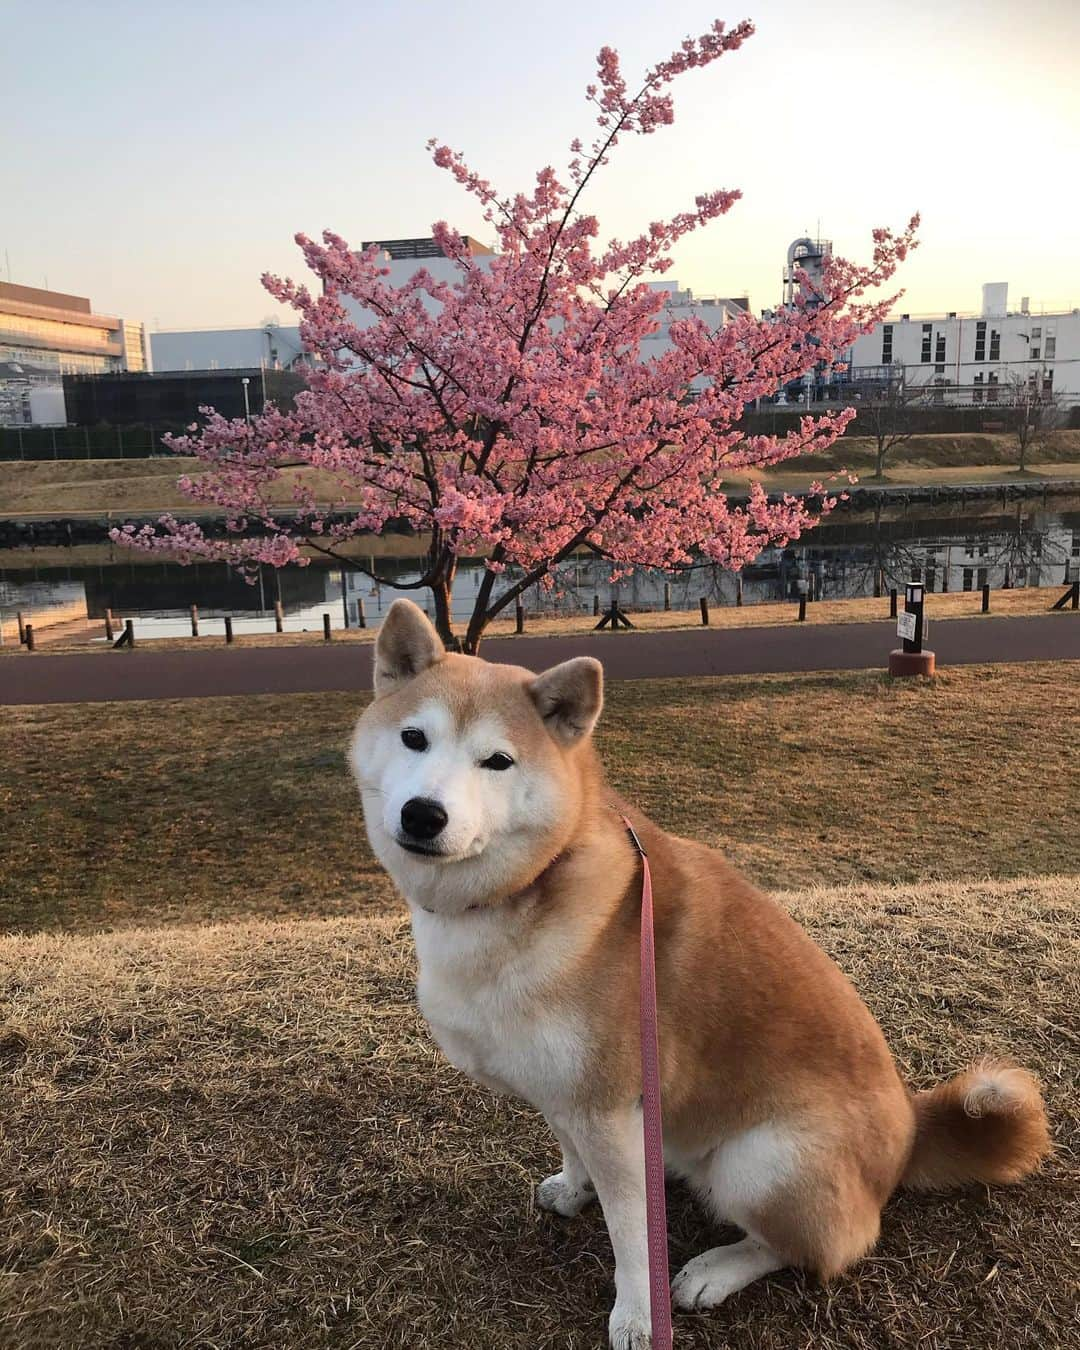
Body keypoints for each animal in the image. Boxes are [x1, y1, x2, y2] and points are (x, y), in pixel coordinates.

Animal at [351, 604, 1053, 1350]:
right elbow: (572, 1151)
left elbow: (633, 1240)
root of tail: (912, 1132)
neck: (528, 886)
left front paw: (637, 1316)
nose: (424, 813)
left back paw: (716, 1270)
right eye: (414, 738)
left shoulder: (606, 1106)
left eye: (498, 761)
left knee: (813, 1247)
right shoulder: (567, 1093)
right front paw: (573, 1190)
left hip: (762, 1163)